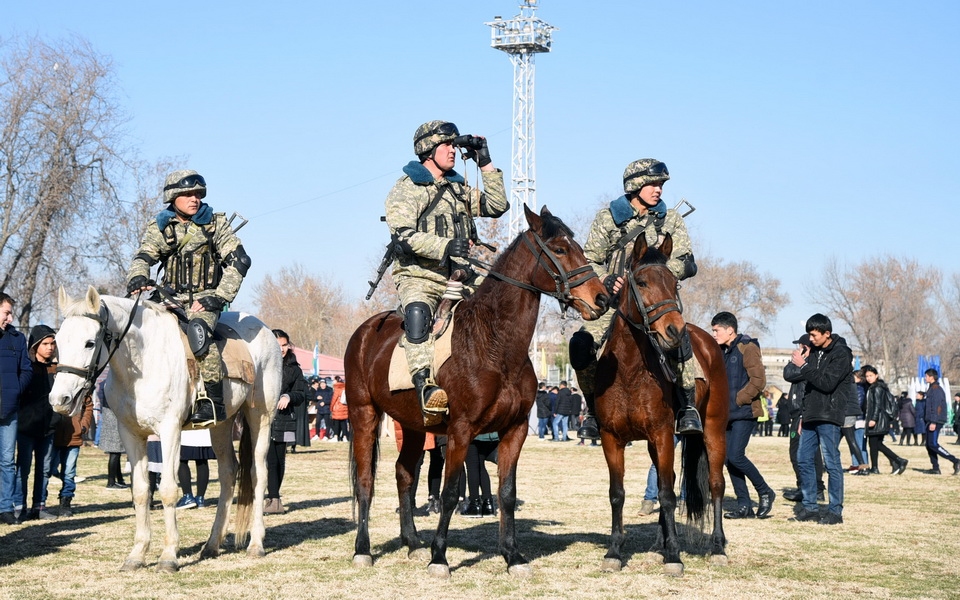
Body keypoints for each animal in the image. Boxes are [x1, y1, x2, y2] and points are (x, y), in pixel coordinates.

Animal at [49, 286, 282, 572]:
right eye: (58, 342)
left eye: (89, 343)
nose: (60, 400)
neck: (142, 362)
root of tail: (264, 329)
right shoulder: (131, 434)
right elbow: (140, 491)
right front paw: (137, 555)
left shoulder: (170, 430)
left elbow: (169, 490)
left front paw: (169, 556)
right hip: (222, 423)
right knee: (229, 472)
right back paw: (212, 544)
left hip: (260, 415)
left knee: (258, 473)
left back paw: (256, 544)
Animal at [348, 205, 612, 576]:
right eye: (560, 249)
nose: (602, 298)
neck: (496, 345)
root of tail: (365, 331)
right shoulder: (461, 432)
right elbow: (450, 492)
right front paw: (439, 557)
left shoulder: (514, 430)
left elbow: (506, 492)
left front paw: (512, 555)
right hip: (364, 415)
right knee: (365, 483)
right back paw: (363, 549)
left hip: (414, 426)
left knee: (404, 474)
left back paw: (412, 542)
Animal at [592, 233, 728, 576]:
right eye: (641, 282)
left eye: (674, 283)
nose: (674, 330)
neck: (628, 370)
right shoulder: (612, 439)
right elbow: (617, 494)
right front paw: (614, 552)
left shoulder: (663, 434)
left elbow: (667, 495)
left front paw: (675, 557)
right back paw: (657, 546)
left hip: (714, 430)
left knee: (716, 484)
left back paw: (717, 547)